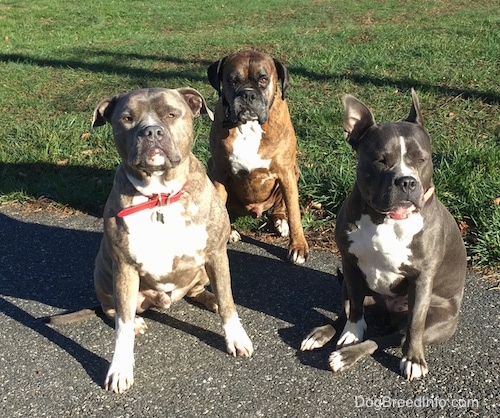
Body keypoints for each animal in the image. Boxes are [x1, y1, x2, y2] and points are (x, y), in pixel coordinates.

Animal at [92, 87, 254, 392]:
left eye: (171, 114)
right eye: (127, 118)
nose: (151, 131)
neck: (160, 196)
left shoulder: (216, 254)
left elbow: (228, 300)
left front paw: (236, 338)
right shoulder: (124, 267)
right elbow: (121, 325)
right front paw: (120, 368)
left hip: (202, 269)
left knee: (201, 291)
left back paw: (211, 299)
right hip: (104, 272)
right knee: (112, 309)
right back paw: (137, 321)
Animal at [300, 90, 468, 380]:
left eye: (422, 159)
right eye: (380, 160)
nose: (407, 181)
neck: (388, 218)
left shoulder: (421, 280)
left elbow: (414, 326)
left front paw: (413, 359)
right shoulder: (350, 264)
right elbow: (354, 309)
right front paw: (351, 333)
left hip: (438, 319)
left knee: (393, 336)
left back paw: (346, 356)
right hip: (350, 280)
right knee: (345, 309)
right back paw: (322, 335)